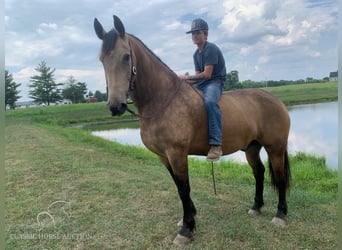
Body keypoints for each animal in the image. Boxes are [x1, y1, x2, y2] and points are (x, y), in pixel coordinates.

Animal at [93, 15, 292, 246]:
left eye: (126, 57)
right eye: (101, 59)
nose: (116, 106)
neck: (162, 100)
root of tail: (276, 100)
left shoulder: (177, 153)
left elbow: (183, 188)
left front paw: (187, 229)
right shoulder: (163, 156)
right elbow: (178, 187)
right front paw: (189, 218)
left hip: (275, 148)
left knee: (279, 176)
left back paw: (280, 215)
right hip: (252, 147)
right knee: (259, 172)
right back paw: (256, 207)